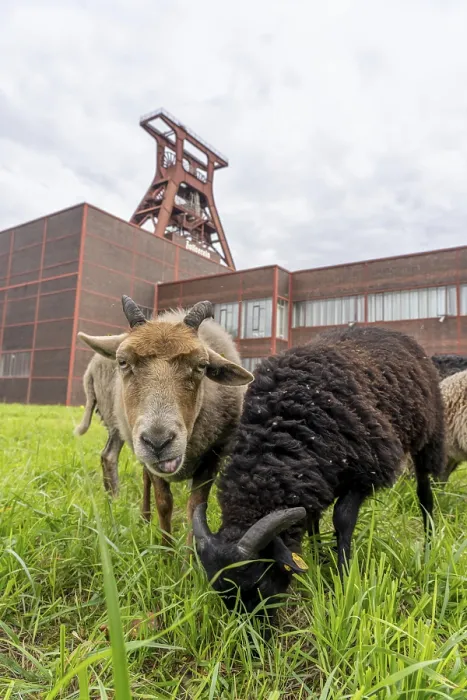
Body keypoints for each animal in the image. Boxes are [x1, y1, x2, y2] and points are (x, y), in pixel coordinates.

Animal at [76, 295, 253, 545]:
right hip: (119, 425)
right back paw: (123, 506)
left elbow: (195, 508)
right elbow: (164, 503)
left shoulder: (214, 454)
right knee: (113, 458)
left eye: (202, 366)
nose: (158, 442)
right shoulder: (152, 460)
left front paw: (191, 553)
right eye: (122, 362)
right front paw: (166, 549)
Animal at [193, 325, 445, 623]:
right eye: (219, 591)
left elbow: (342, 519)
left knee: (424, 492)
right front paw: (317, 556)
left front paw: (344, 576)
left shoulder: (366, 471)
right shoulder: (312, 477)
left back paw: (429, 541)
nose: (258, 636)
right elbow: (312, 519)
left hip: (429, 433)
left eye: (259, 582)